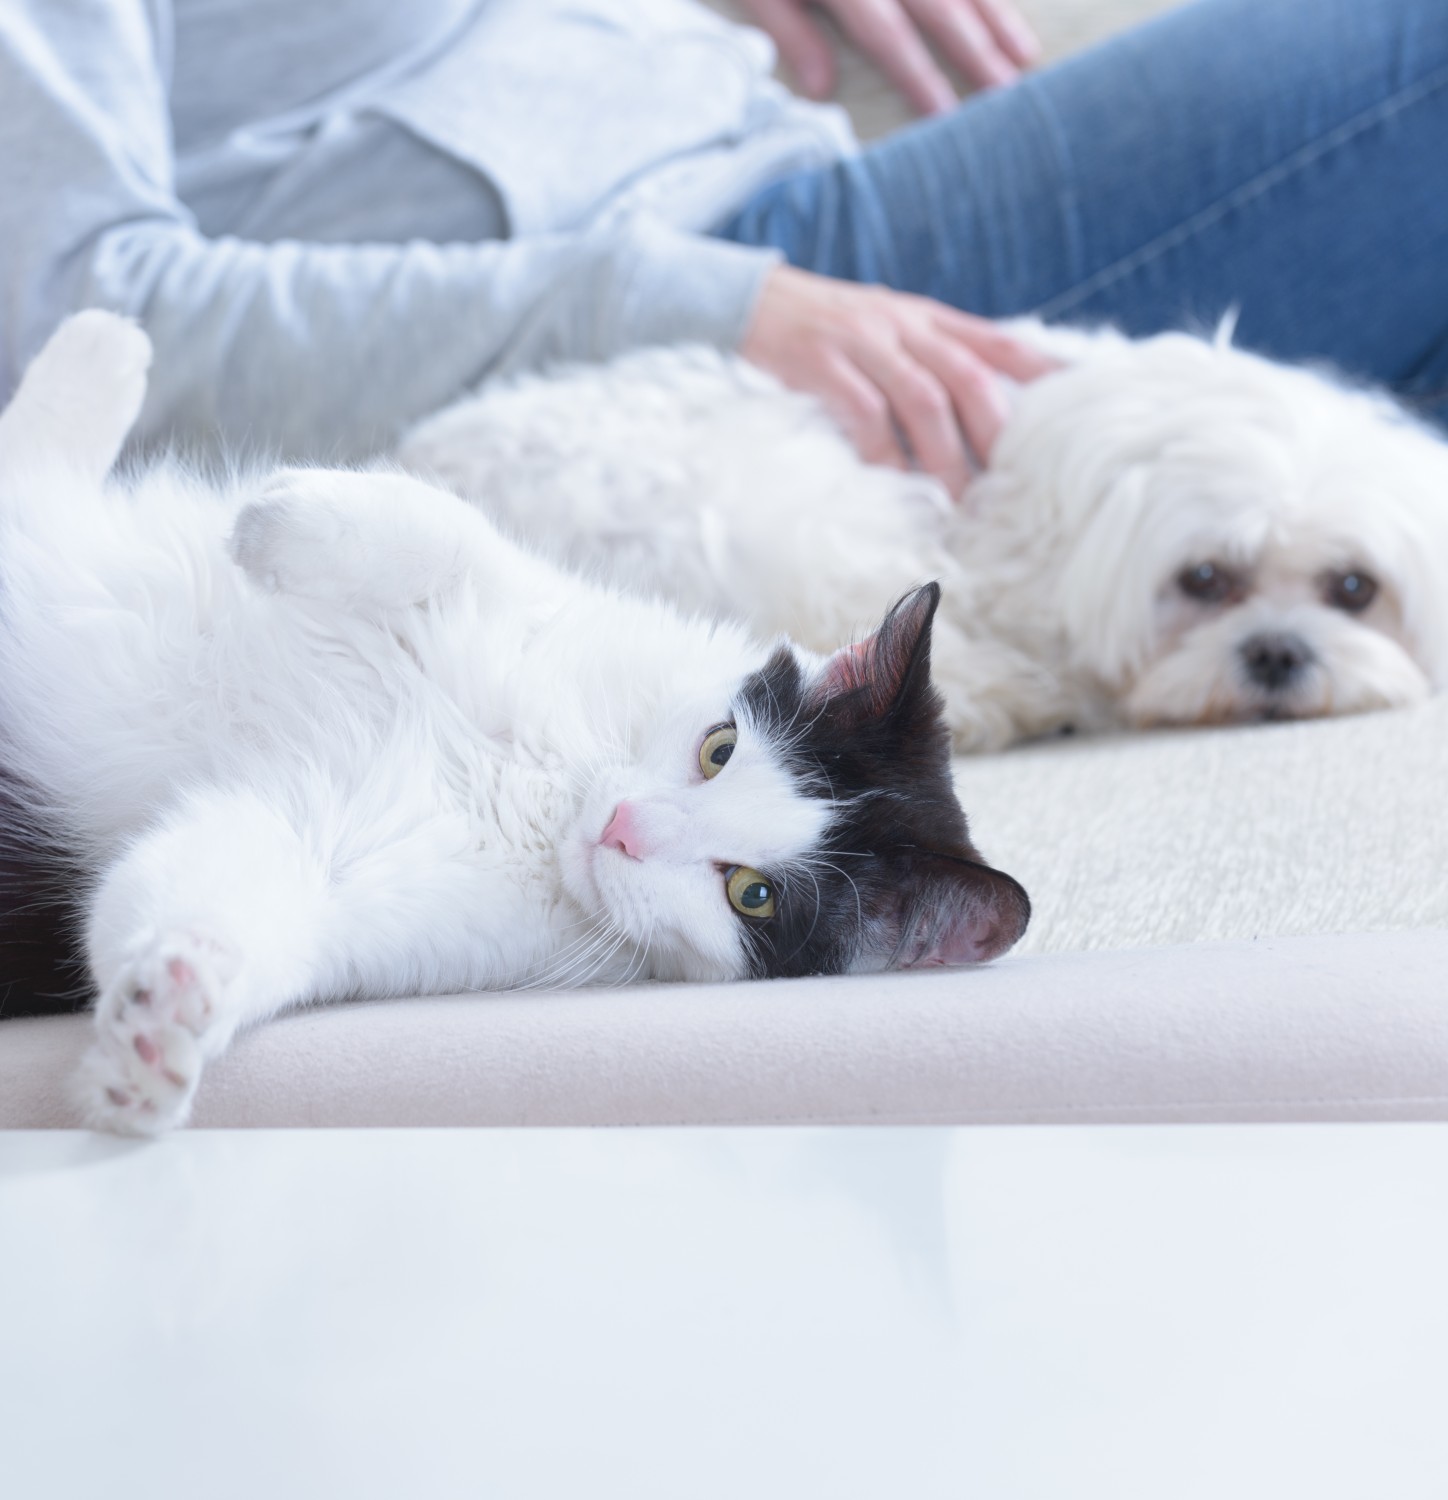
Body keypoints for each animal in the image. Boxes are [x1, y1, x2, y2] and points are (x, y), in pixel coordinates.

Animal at [0, 319, 1026, 1134]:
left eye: (754, 895)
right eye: (719, 748)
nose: (624, 829)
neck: (549, 784)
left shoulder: (333, 864)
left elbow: (210, 887)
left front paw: (160, 1033)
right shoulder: (535, 601)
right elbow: (453, 533)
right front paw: (278, 519)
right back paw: (102, 352)